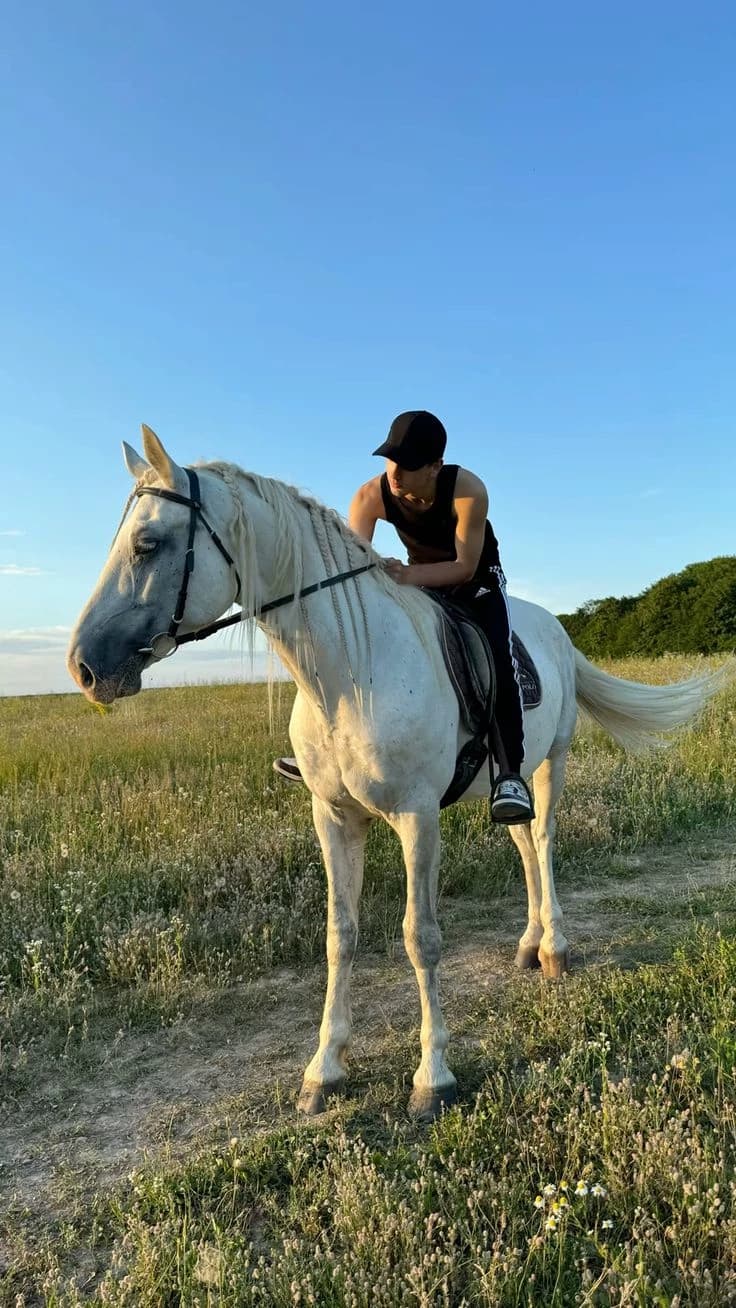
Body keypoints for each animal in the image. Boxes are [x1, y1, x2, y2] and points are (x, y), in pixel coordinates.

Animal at [67, 426, 730, 1120]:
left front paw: (432, 1078)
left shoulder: (417, 816)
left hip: (554, 759)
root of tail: (555, 628)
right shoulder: (333, 817)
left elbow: (421, 937)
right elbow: (340, 934)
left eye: (148, 544)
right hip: (508, 783)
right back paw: (528, 945)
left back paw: (554, 948)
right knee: (523, 843)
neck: (350, 674)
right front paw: (324, 1070)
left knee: (545, 842)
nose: (83, 667)